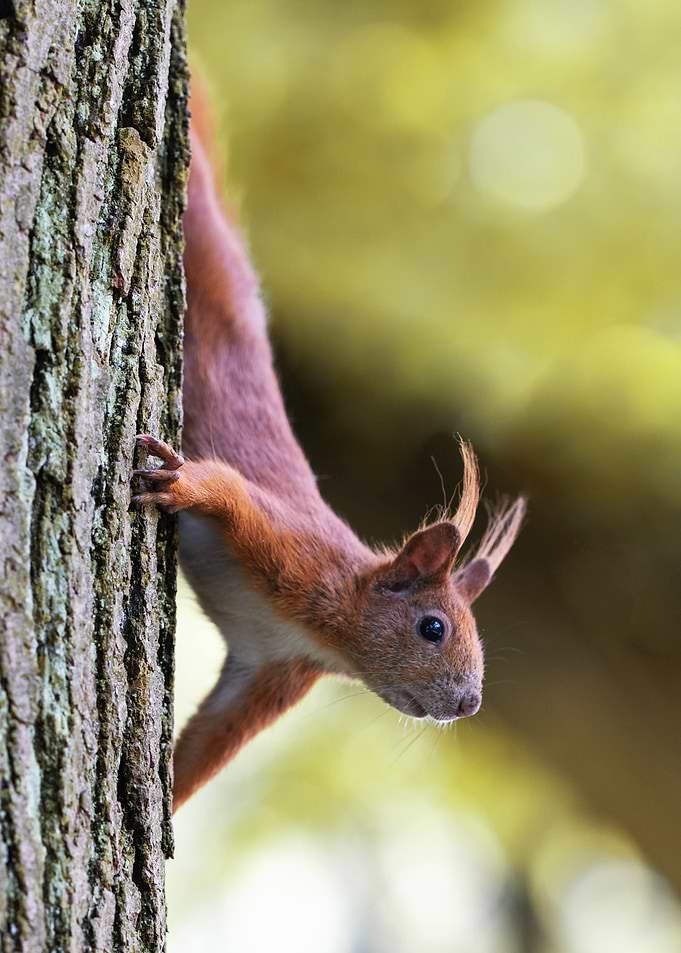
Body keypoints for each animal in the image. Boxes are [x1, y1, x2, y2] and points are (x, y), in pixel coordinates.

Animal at [132, 88, 527, 813]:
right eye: (433, 627)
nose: (468, 703)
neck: (328, 629)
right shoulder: (287, 548)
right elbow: (225, 488)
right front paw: (179, 484)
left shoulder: (271, 668)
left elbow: (208, 744)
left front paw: (166, 805)